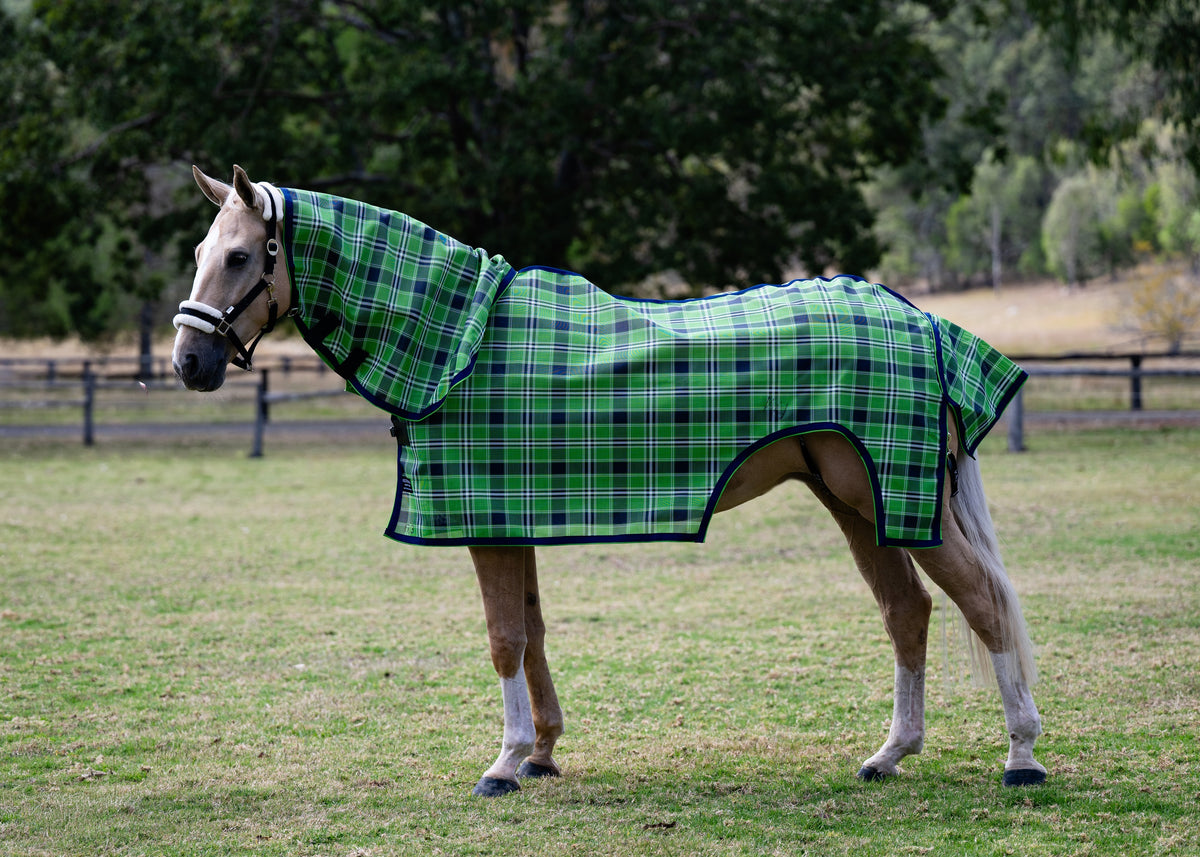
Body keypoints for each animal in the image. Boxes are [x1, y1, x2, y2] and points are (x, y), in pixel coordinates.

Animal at [173, 165, 1046, 797]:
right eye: (200, 257)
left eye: (241, 256)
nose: (188, 361)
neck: (459, 339)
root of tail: (920, 319)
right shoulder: (509, 519)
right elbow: (532, 632)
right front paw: (541, 752)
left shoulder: (485, 524)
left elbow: (504, 637)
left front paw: (503, 763)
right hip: (858, 498)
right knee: (908, 610)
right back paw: (890, 753)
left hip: (896, 497)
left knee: (982, 601)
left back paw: (1022, 756)